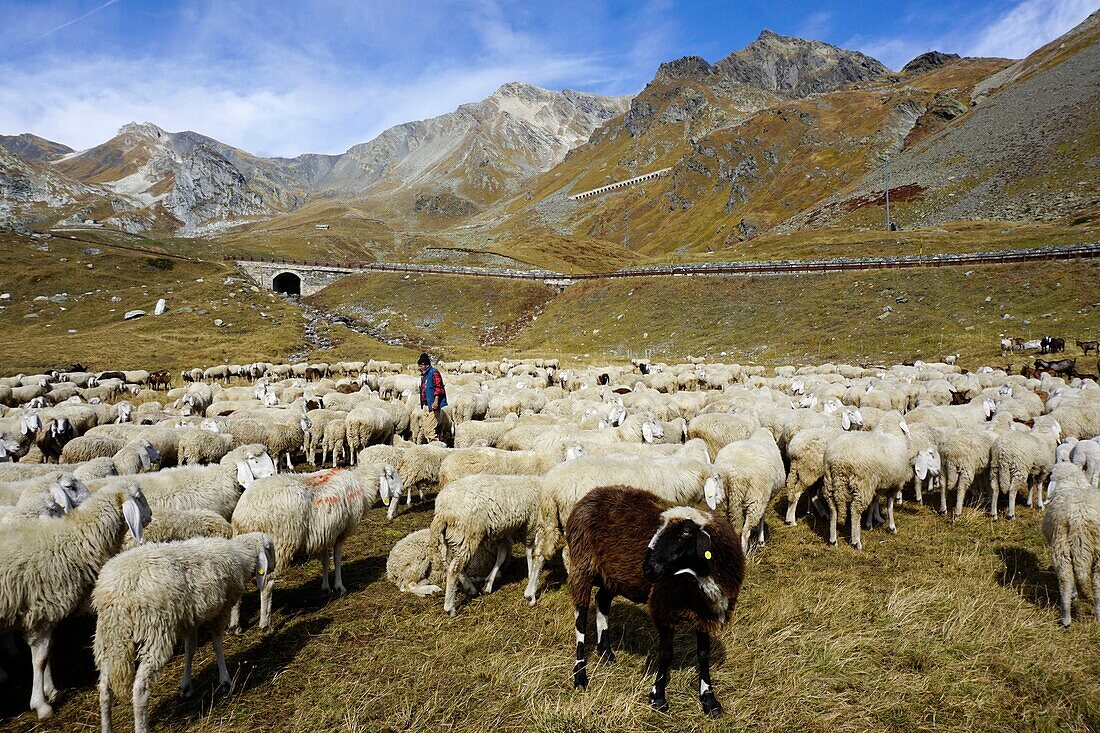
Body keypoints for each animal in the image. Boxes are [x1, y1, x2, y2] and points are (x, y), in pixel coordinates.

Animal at [0, 479, 150, 713]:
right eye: (138, 497)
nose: (150, 515)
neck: (74, 540)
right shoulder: (41, 612)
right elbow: (40, 659)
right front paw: (41, 704)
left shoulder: (45, 615)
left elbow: (48, 654)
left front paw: (51, 691)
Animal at [95, 530, 275, 730]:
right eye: (270, 549)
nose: (273, 568)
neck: (240, 554)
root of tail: (119, 591)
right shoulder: (222, 611)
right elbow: (217, 644)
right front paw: (225, 680)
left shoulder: (190, 619)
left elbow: (190, 649)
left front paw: (186, 686)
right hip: (156, 631)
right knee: (140, 688)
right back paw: (142, 726)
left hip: (110, 636)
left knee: (104, 689)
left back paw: (106, 726)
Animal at [229, 468, 367, 629]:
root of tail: (246, 516)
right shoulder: (341, 532)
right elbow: (337, 560)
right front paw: (340, 586)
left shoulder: (324, 534)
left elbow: (325, 561)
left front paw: (326, 586)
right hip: (277, 547)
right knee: (267, 585)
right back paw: (265, 623)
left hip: (246, 546)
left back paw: (235, 625)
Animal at [429, 471, 541, 611]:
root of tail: (442, 511)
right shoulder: (531, 524)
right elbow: (529, 551)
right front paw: (531, 574)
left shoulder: (503, 531)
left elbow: (501, 555)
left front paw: (488, 584)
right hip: (466, 535)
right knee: (454, 569)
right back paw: (450, 607)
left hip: (452, 538)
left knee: (451, 564)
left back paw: (470, 588)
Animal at [1038, 464, 1100, 625]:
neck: (1073, 483)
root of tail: (1079, 518)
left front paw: (1074, 594)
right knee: (1097, 587)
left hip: (1061, 548)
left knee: (1066, 580)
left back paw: (1066, 618)